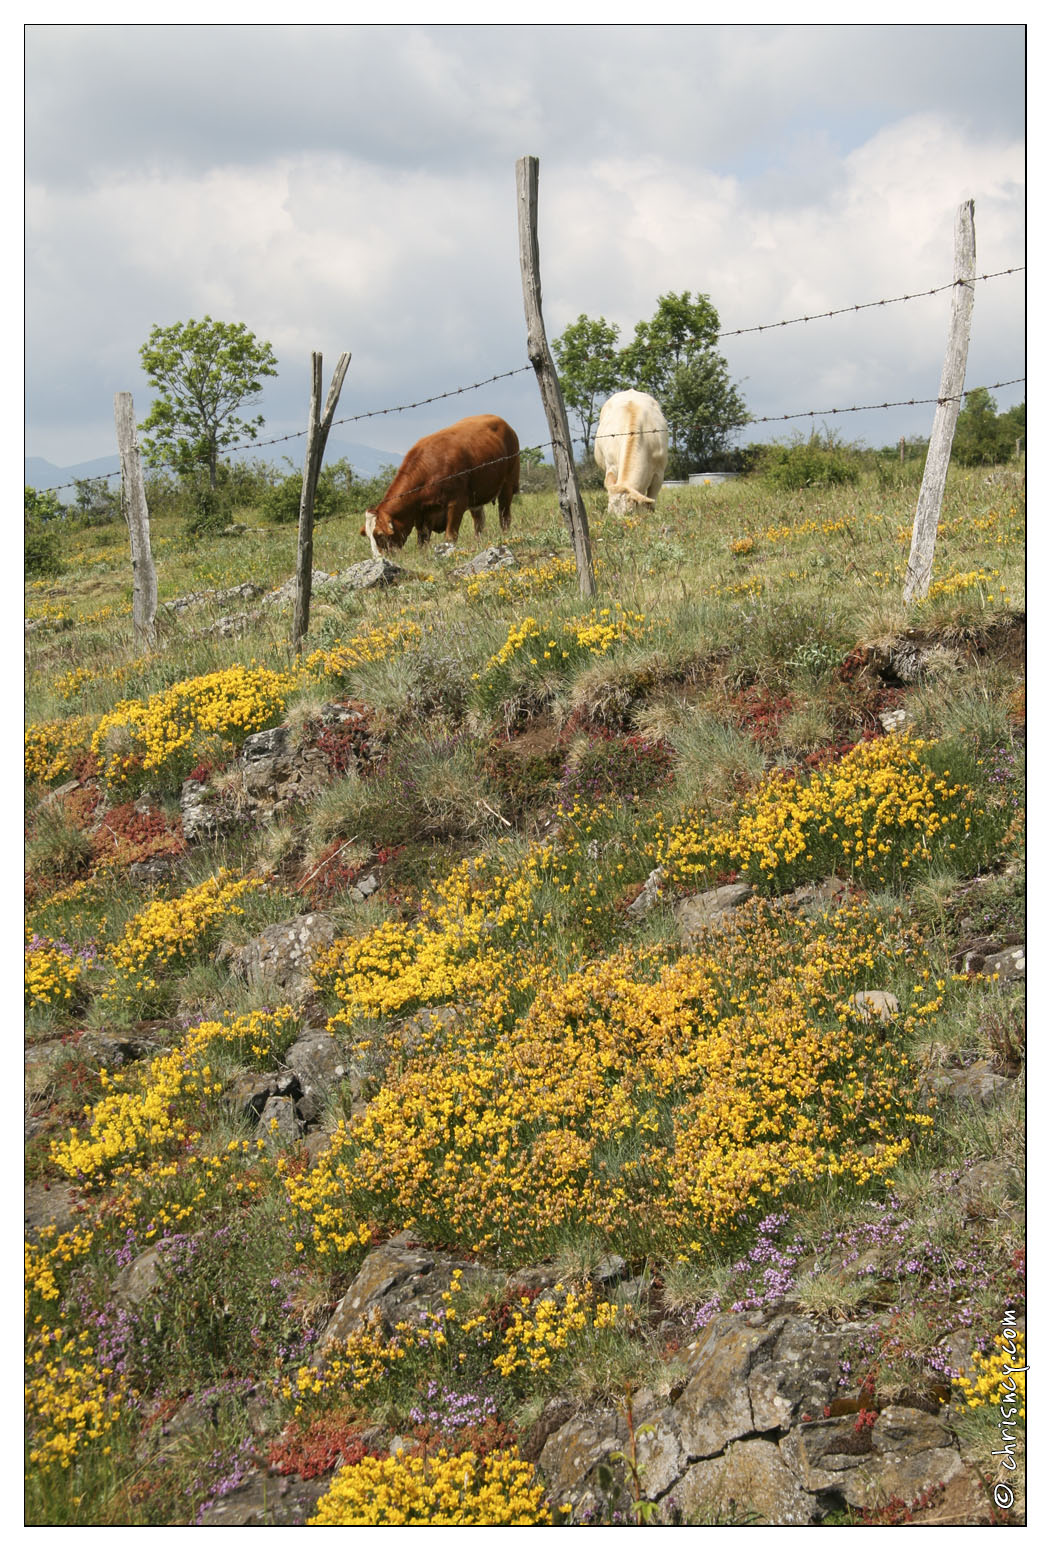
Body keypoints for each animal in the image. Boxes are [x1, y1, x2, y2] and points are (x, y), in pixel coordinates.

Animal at [364, 412, 520, 558]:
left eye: (380, 535)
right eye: (368, 536)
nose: (377, 559)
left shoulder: (456, 503)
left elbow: (450, 537)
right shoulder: (421, 517)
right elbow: (422, 542)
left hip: (508, 484)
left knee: (504, 517)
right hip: (476, 497)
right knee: (479, 523)